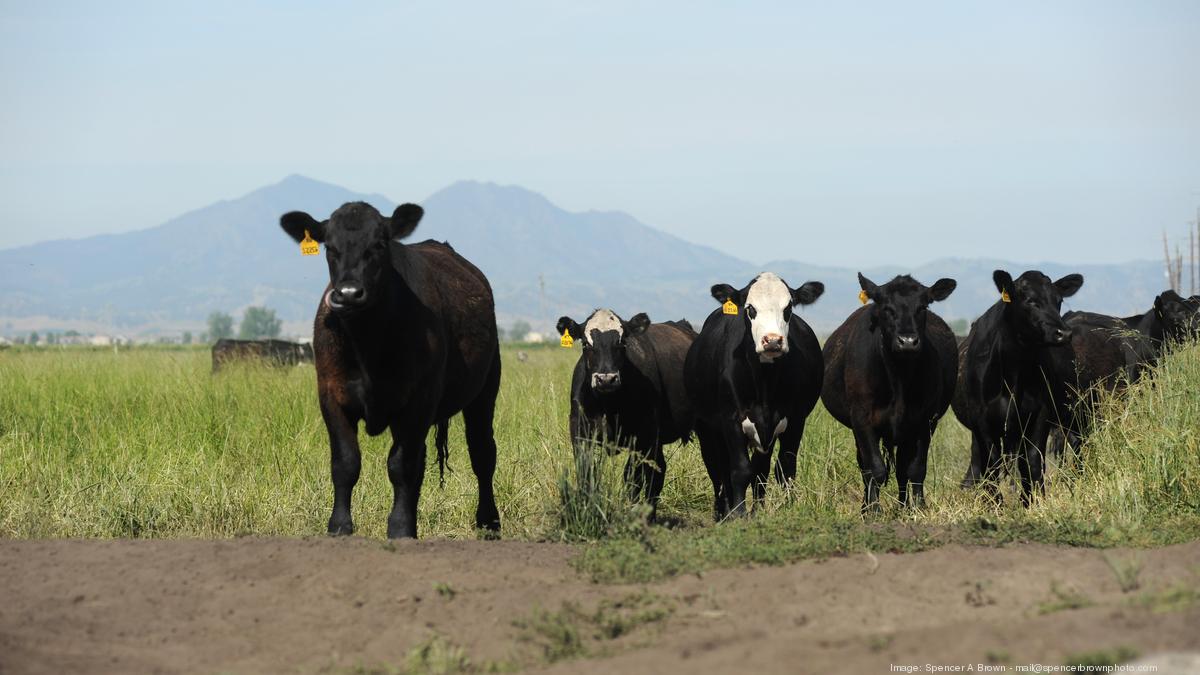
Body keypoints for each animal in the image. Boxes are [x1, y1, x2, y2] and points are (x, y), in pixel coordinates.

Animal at [278, 198, 499, 535]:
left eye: (379, 244)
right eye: (329, 246)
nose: (348, 294)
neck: (368, 342)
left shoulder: (418, 402)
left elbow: (401, 466)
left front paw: (400, 528)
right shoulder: (331, 395)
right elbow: (345, 463)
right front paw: (339, 526)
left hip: (485, 390)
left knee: (482, 453)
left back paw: (489, 522)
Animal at [556, 307, 700, 516]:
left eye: (622, 342)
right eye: (585, 343)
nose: (606, 379)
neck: (608, 405)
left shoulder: (642, 437)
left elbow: (632, 479)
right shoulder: (580, 432)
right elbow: (586, 473)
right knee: (659, 471)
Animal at [686, 270, 825, 516]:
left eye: (788, 308)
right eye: (750, 308)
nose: (772, 341)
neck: (764, 386)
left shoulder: (795, 420)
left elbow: (781, 469)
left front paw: (778, 509)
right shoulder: (731, 419)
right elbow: (740, 469)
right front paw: (738, 513)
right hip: (707, 429)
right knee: (717, 468)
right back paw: (722, 511)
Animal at [820, 273, 960, 509]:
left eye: (922, 306)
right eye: (886, 307)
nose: (908, 341)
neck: (898, 378)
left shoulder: (925, 421)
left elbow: (916, 469)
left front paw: (919, 508)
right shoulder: (862, 420)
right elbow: (875, 469)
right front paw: (873, 510)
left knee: (903, 468)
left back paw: (903, 506)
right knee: (865, 466)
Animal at [950, 267, 1084, 499]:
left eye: (1058, 300)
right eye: (1030, 300)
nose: (1064, 333)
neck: (1013, 375)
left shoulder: (1039, 415)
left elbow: (1033, 462)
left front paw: (1033, 500)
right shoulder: (983, 421)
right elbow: (991, 466)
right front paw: (994, 502)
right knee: (978, 463)